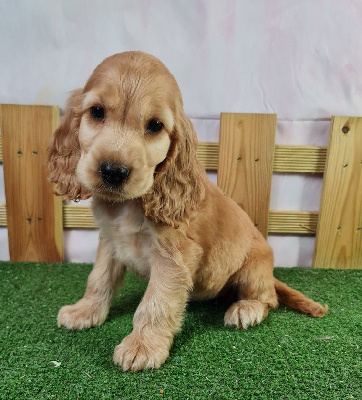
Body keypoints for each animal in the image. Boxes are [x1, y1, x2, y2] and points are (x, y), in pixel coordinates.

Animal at [46, 51, 326, 370]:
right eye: (96, 111)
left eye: (155, 125)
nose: (113, 172)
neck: (129, 205)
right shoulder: (110, 240)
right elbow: (99, 279)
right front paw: (85, 311)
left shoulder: (174, 255)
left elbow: (156, 301)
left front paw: (143, 346)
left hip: (253, 268)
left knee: (268, 298)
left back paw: (246, 309)